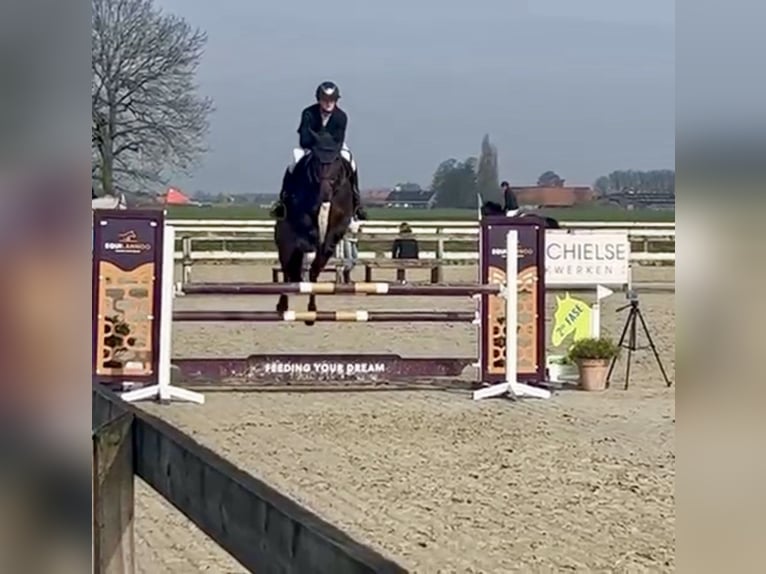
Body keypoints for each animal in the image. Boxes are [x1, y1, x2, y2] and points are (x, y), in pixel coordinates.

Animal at [274, 146, 355, 325]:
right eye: (317, 161)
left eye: (337, 163)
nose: (325, 194)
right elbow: (307, 225)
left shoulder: (340, 219)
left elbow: (332, 233)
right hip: (285, 247)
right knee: (287, 273)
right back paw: (283, 306)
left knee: (313, 273)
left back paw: (312, 312)